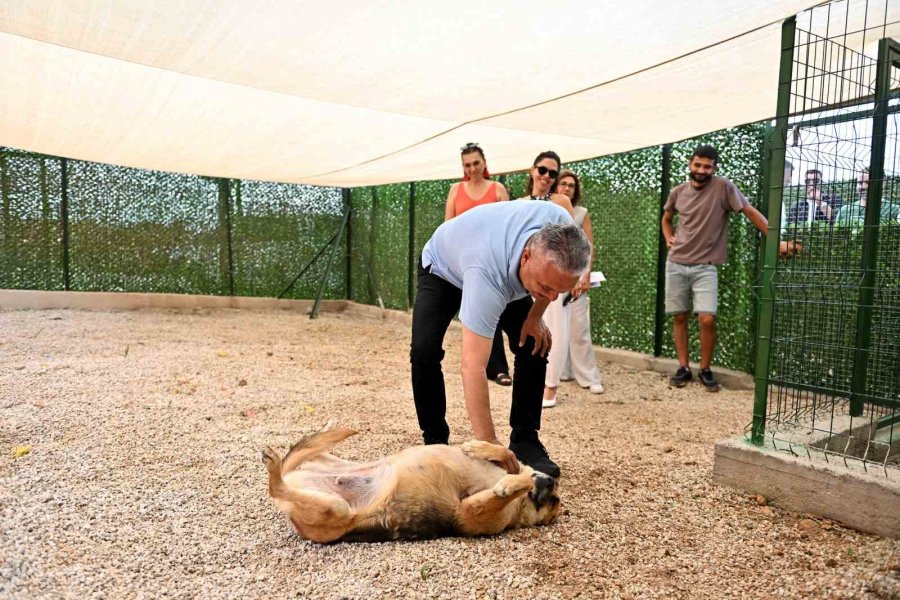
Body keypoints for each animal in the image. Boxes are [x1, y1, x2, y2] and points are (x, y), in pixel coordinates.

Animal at [260, 422, 560, 544]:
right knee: (311, 453)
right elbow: (507, 454)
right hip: (337, 465)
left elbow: (516, 482)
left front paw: (511, 484)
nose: (550, 481)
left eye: (554, 502)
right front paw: (479, 447)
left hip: (335, 509)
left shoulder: (471, 511)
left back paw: (275, 469)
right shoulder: (510, 465)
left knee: (276, 486)